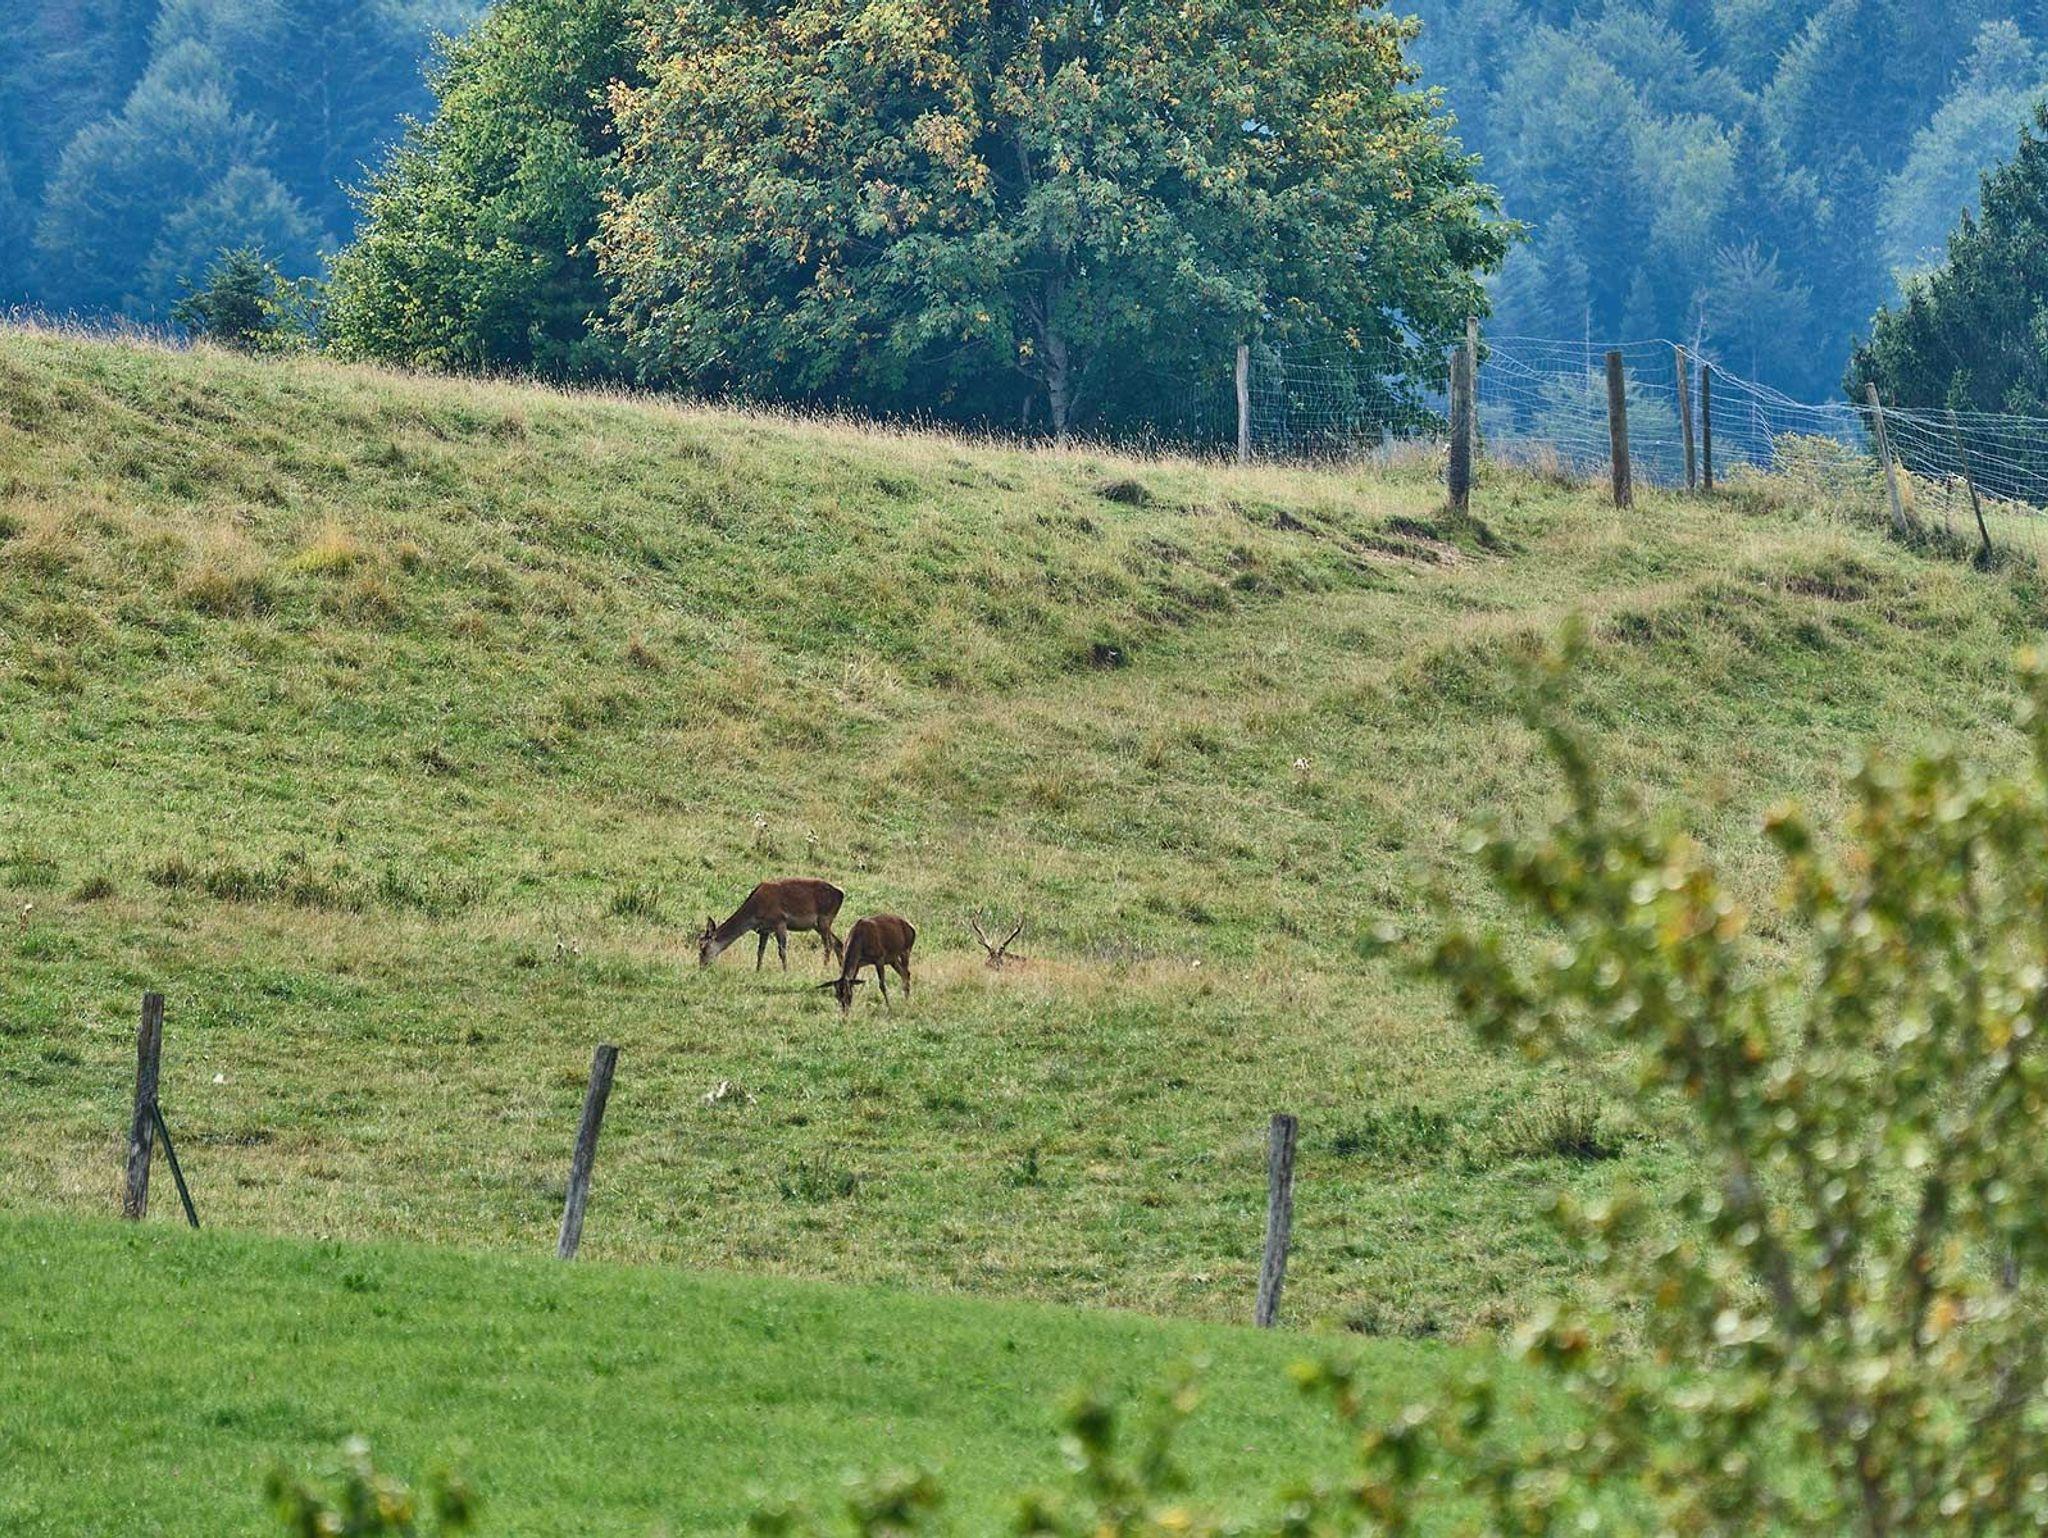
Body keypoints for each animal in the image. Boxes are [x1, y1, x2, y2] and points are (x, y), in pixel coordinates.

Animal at [699, 878, 846, 971]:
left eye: (703, 948)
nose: (701, 966)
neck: (755, 912)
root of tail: (841, 894)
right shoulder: (764, 929)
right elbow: (760, 952)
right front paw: (757, 971)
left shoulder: (779, 921)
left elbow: (782, 951)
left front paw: (785, 972)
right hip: (819, 925)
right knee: (838, 943)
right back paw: (840, 970)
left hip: (824, 919)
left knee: (828, 946)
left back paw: (825, 968)